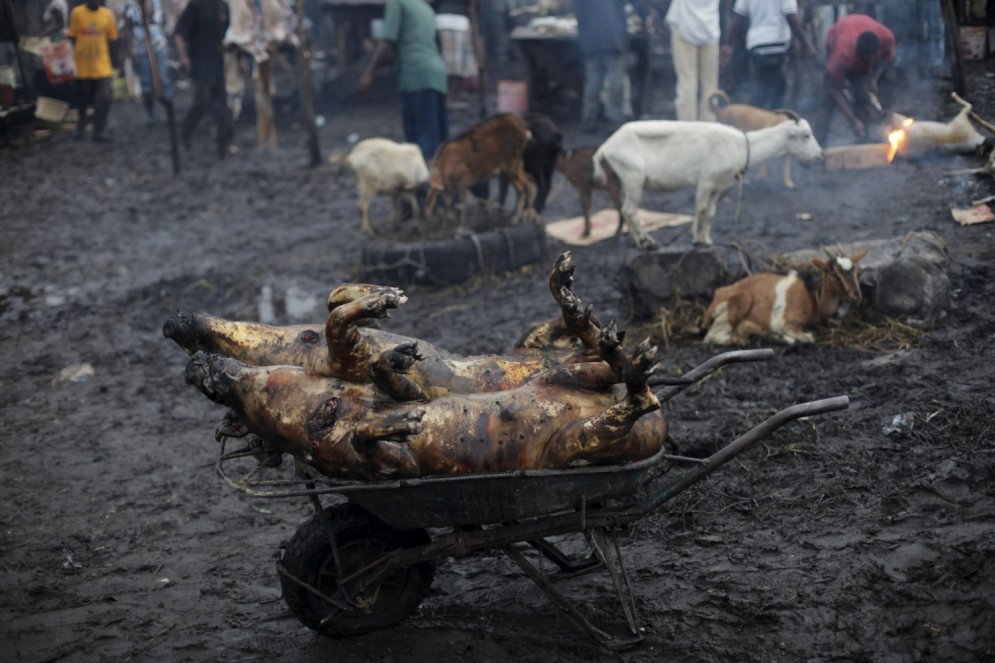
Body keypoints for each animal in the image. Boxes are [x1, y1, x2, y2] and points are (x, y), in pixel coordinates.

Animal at [592, 116, 824, 249]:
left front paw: (708, 240)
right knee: (630, 210)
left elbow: (711, 213)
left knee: (623, 210)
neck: (740, 146)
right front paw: (696, 239)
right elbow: (701, 208)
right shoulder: (706, 180)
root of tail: (605, 146)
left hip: (623, 179)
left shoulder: (720, 186)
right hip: (634, 178)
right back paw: (646, 241)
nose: (820, 155)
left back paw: (636, 241)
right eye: (806, 135)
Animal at [700, 250, 872, 348]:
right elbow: (808, 338)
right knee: (710, 336)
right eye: (833, 273)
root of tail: (718, 294)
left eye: (855, 270)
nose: (856, 295)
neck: (812, 298)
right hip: (738, 305)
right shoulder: (784, 322)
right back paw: (739, 340)